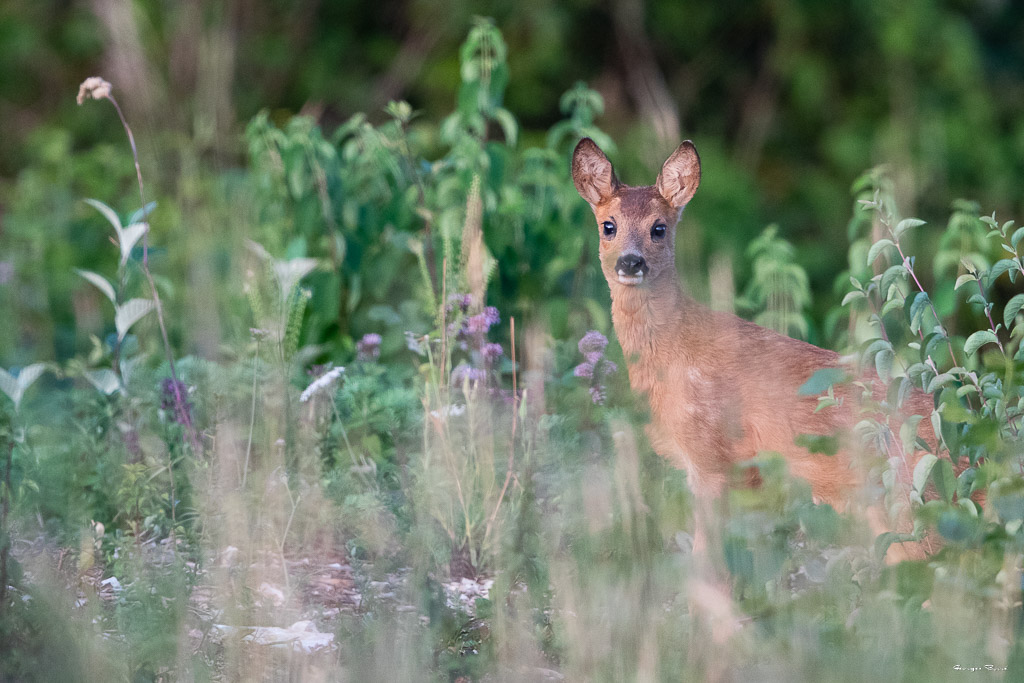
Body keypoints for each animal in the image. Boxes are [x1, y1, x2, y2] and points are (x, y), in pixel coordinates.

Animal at [571, 137, 943, 569]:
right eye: (608, 225)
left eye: (658, 228)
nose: (631, 262)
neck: (674, 353)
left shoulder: (714, 451)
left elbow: (707, 554)